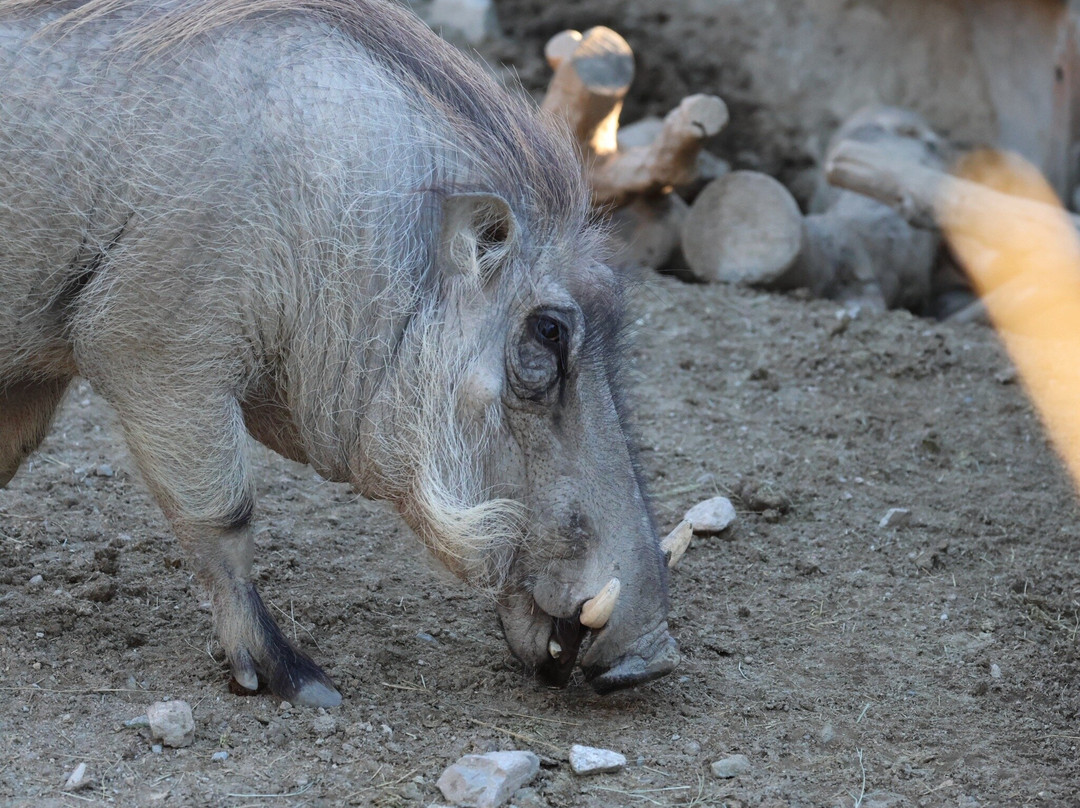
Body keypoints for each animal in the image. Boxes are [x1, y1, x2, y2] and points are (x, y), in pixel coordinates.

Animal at [0, 0, 680, 707]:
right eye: (548, 332)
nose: (652, 660)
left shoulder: (36, 369)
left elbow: (7, 454)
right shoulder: (157, 354)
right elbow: (224, 517)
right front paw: (293, 679)